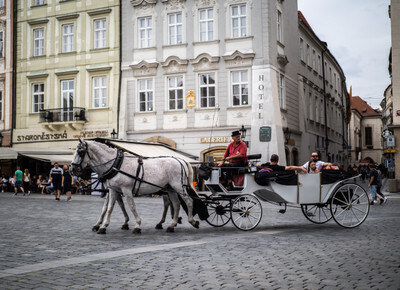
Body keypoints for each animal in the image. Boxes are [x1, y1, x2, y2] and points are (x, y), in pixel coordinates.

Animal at [70, 140, 200, 233]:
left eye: (80, 152)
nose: (72, 170)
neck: (116, 164)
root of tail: (180, 160)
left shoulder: (126, 190)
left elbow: (131, 207)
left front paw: (137, 225)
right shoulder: (113, 190)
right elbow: (109, 208)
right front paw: (103, 226)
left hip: (178, 187)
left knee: (189, 201)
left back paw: (192, 221)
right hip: (170, 189)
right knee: (176, 205)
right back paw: (171, 225)